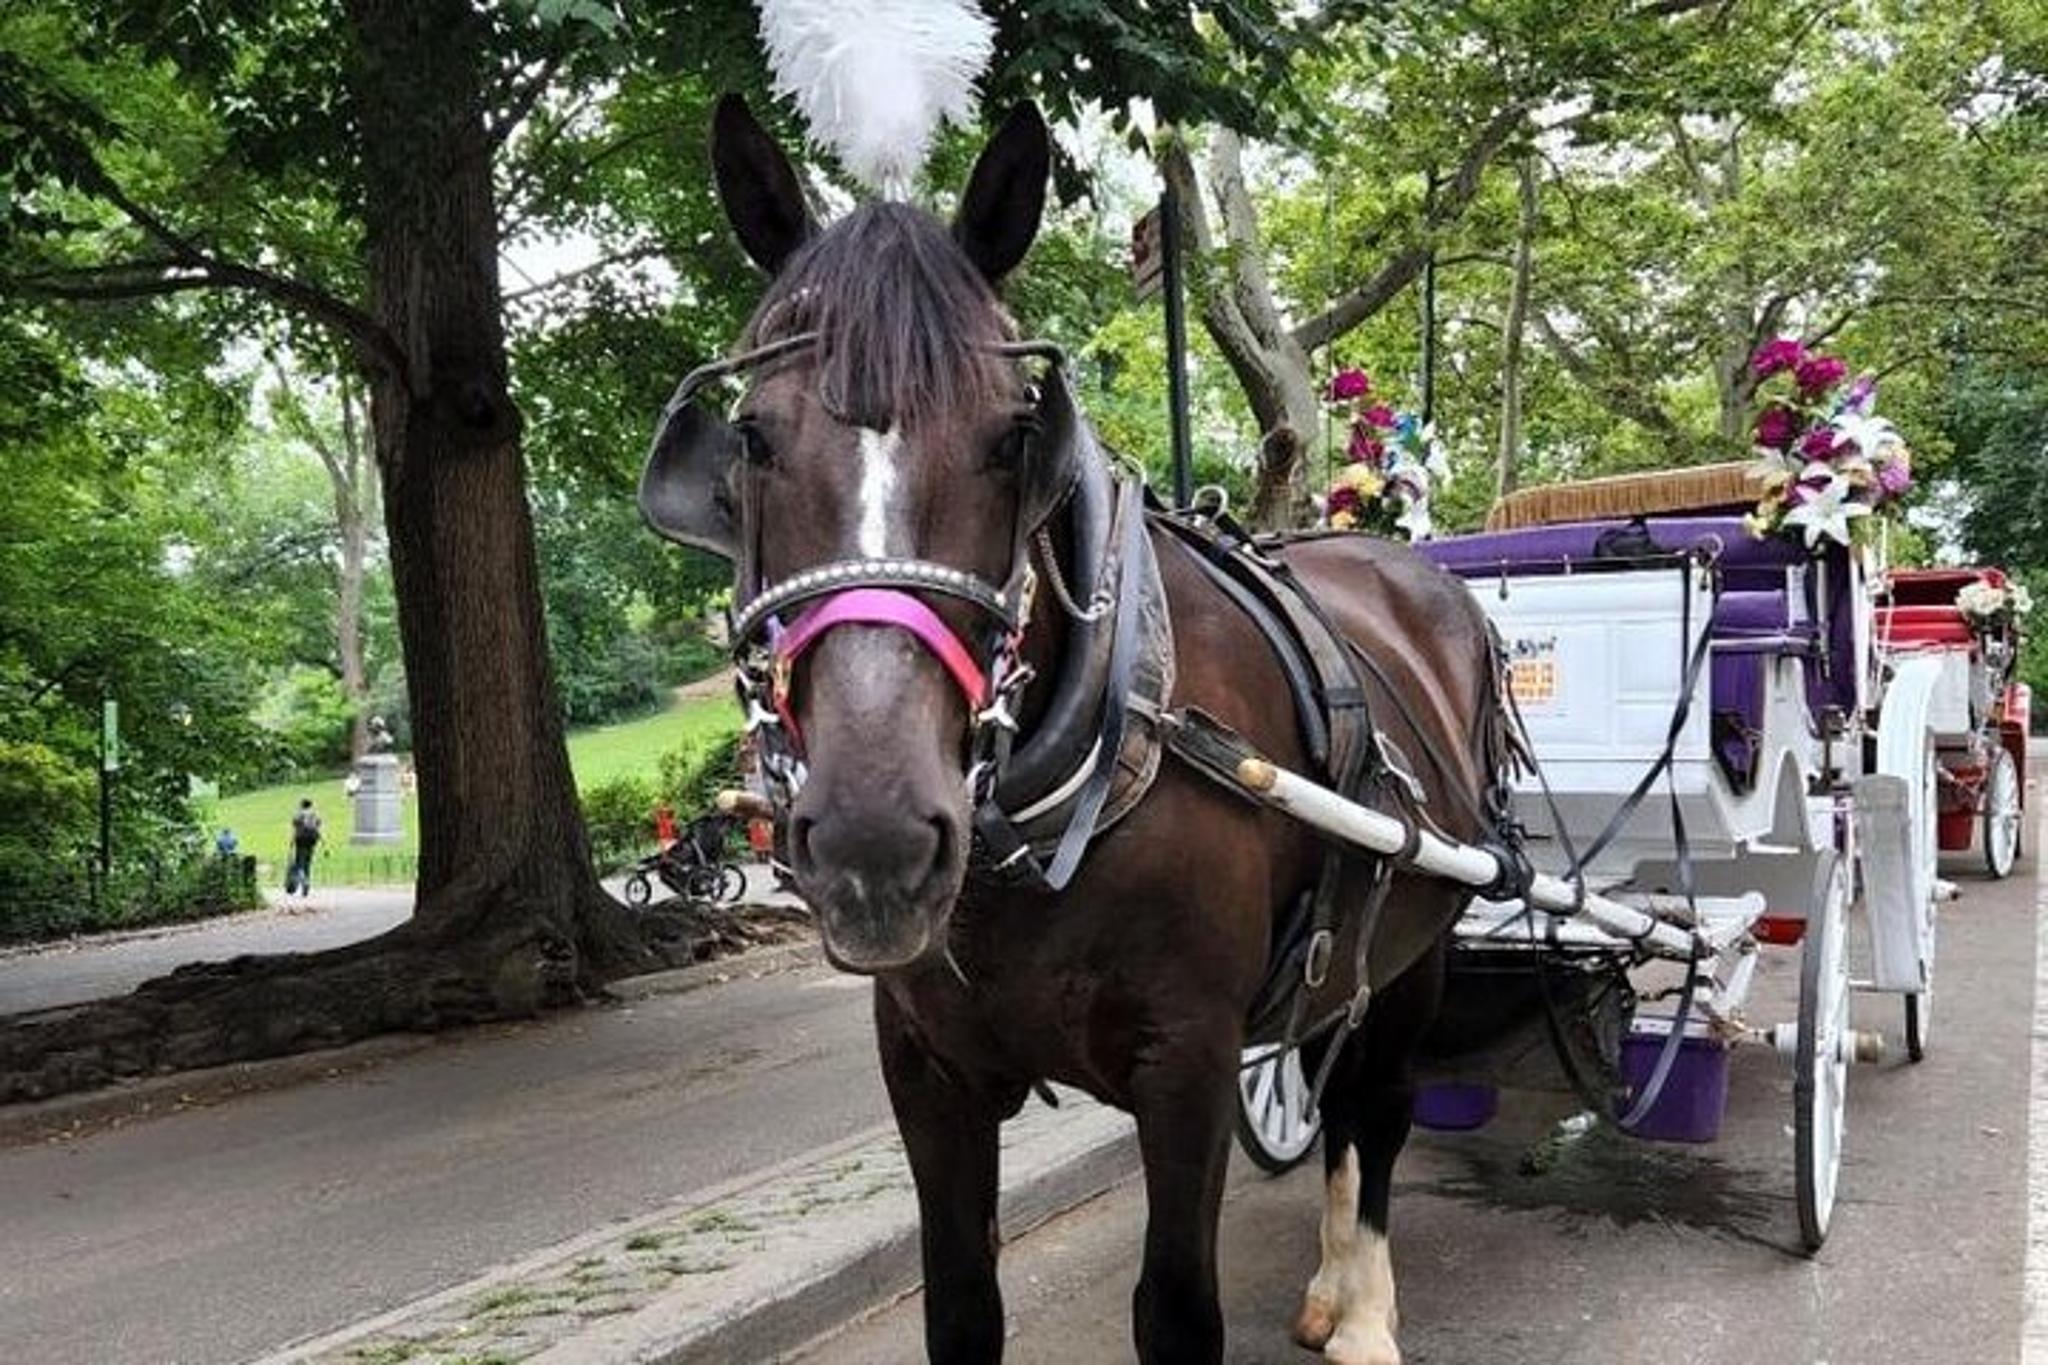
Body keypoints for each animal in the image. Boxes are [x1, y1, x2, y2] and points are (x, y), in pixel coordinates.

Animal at [640, 96, 1507, 1365]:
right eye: (750, 439)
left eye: (1014, 437)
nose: (870, 846)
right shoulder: (927, 1070)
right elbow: (960, 1305)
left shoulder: (1187, 1062)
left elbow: (1176, 1311)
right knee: (1328, 1067)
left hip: (1416, 941)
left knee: (1372, 1110)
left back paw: (1361, 1312)